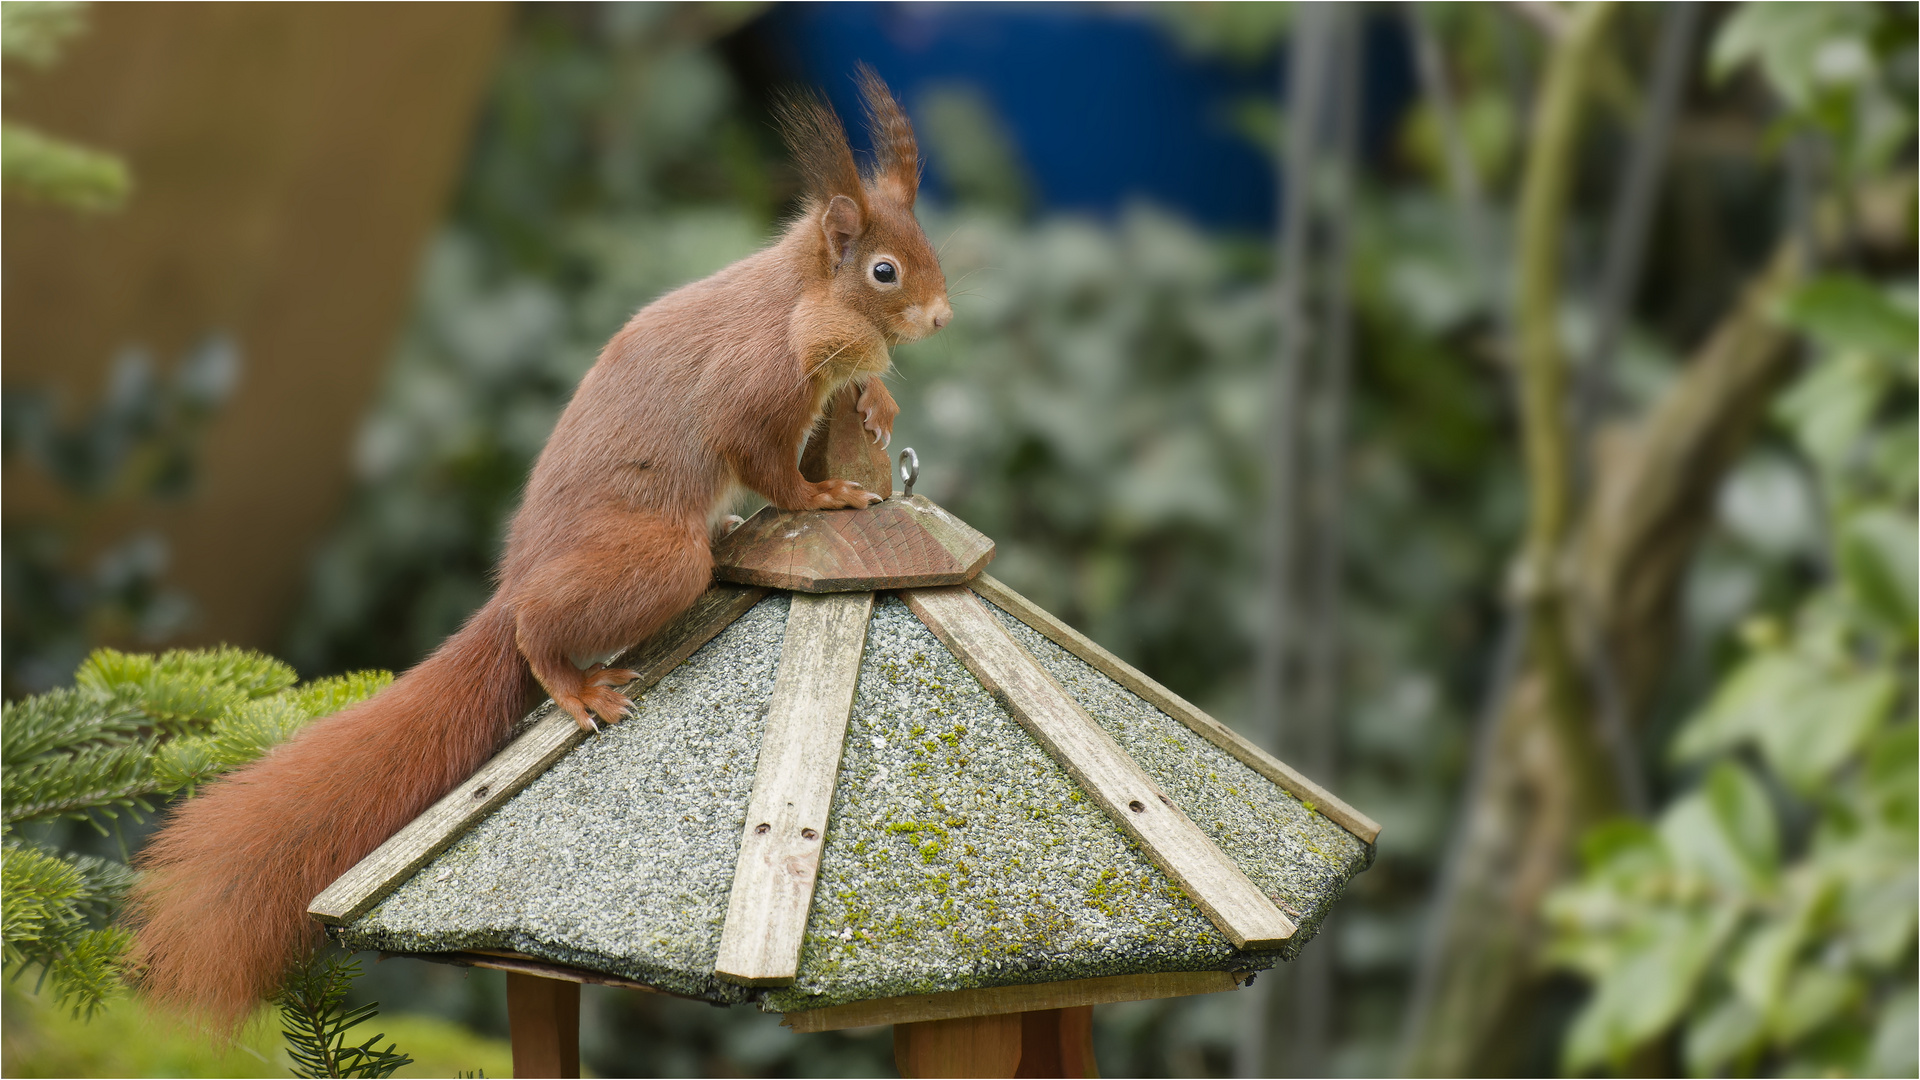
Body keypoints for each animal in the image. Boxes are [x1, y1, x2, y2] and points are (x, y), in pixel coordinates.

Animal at [127, 71, 952, 1022]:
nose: (942, 316)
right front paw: (828, 494)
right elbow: (770, 468)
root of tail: (515, 579)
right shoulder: (753, 389)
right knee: (539, 632)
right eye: (883, 270)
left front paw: (876, 404)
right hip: (650, 566)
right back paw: (576, 685)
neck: (797, 297)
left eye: (926, 246)